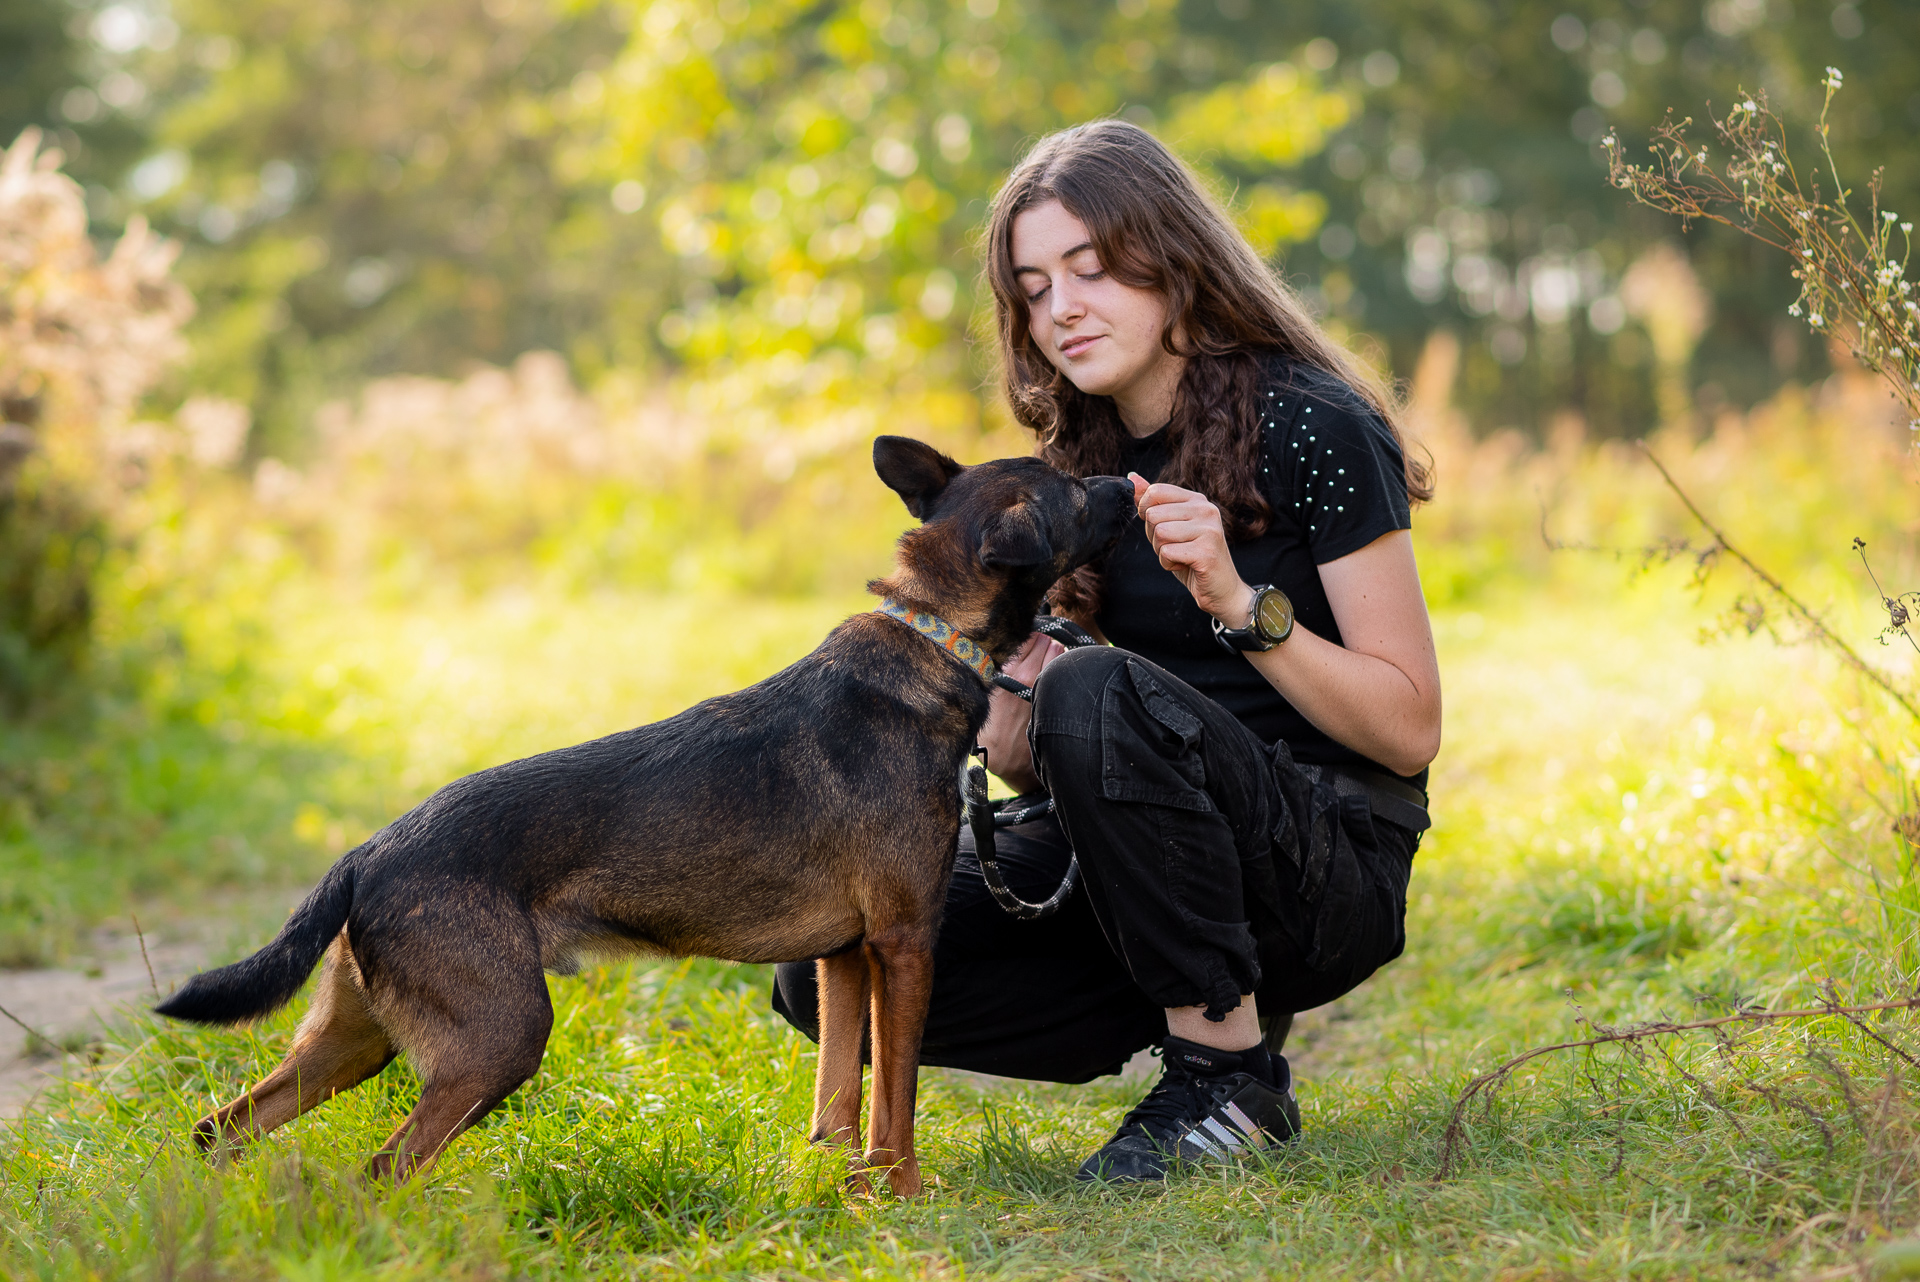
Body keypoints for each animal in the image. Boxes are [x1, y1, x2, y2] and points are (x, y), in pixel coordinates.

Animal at [161, 435, 1136, 1197]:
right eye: (1073, 488)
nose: (1128, 483)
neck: (935, 637)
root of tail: (369, 851)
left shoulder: (845, 958)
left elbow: (839, 1096)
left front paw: (834, 1185)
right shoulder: (904, 941)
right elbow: (895, 1102)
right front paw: (899, 1193)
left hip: (355, 1040)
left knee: (222, 1129)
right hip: (500, 1037)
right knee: (384, 1167)